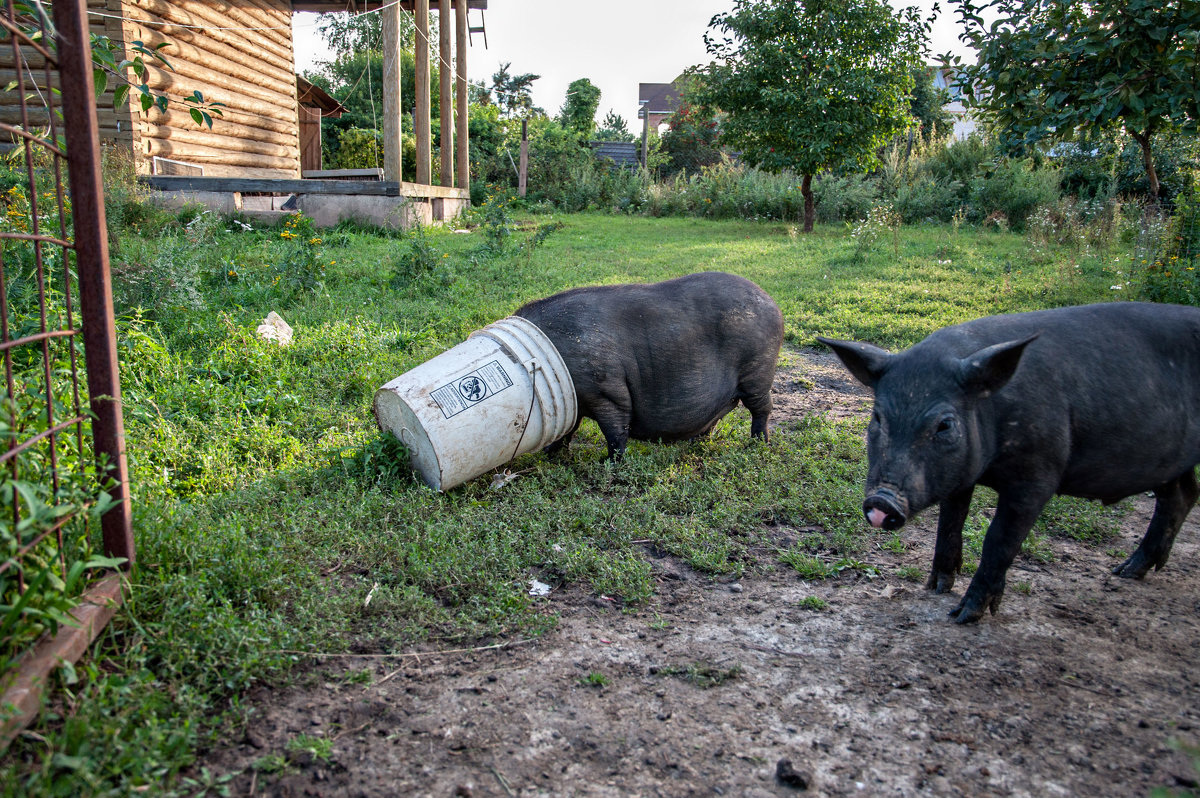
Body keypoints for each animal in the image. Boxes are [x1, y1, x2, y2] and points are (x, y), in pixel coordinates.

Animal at [518, 268, 787, 458]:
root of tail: (773, 303)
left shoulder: (606, 393)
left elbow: (615, 431)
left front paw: (610, 463)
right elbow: (568, 430)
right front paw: (549, 454)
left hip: (757, 373)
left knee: (762, 409)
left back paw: (757, 445)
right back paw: (697, 442)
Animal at [820, 300, 1200, 624]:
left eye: (945, 425)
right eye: (878, 418)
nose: (881, 502)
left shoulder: (1038, 474)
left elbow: (999, 539)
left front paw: (963, 616)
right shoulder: (960, 476)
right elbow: (949, 524)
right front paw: (936, 588)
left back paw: (1125, 572)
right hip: (1167, 462)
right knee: (1181, 496)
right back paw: (1127, 572)